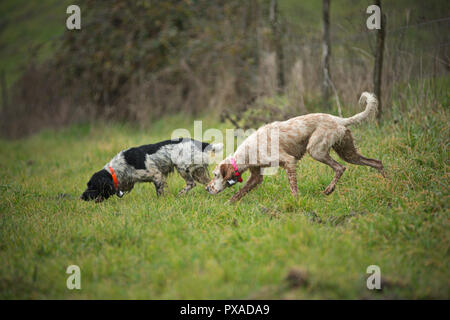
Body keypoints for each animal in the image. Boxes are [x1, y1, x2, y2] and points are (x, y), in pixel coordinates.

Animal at [81, 138, 223, 202]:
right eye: (88, 185)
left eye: (92, 186)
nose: (82, 197)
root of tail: (200, 143)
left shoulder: (157, 175)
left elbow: (159, 191)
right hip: (198, 172)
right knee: (209, 183)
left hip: (182, 167)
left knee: (191, 183)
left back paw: (180, 194)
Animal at [206, 92, 384, 201]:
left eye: (215, 175)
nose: (207, 188)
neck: (248, 152)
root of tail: (338, 119)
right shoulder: (256, 176)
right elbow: (238, 194)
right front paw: (228, 205)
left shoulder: (289, 161)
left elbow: (293, 188)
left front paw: (295, 202)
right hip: (348, 153)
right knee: (376, 162)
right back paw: (386, 182)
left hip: (316, 150)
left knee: (340, 168)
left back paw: (328, 190)